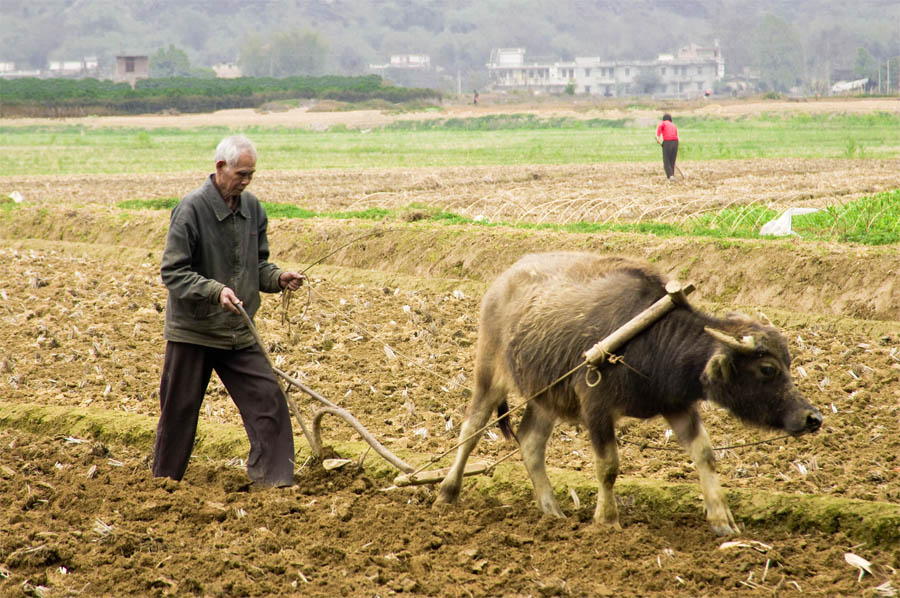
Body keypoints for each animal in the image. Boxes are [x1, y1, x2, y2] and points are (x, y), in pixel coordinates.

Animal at [436, 253, 824, 540]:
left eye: (788, 363)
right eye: (767, 369)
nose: (812, 418)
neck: (653, 342)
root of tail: (501, 283)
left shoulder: (678, 405)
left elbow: (705, 455)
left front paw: (721, 519)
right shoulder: (596, 407)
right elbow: (608, 466)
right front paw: (607, 519)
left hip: (546, 395)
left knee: (530, 441)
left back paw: (552, 510)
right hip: (490, 371)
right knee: (471, 429)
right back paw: (447, 490)